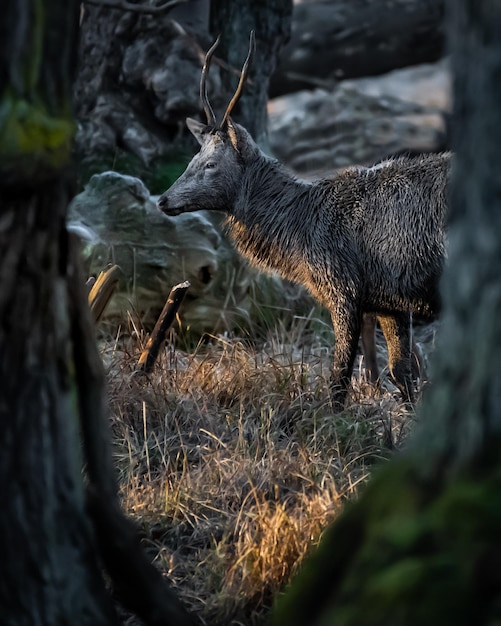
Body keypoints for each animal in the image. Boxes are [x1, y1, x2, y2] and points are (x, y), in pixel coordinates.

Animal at [157, 33, 450, 410]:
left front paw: (335, 421)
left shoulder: (344, 288)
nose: (163, 200)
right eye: (193, 158)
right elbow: (402, 372)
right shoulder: (390, 301)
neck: (300, 235)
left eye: (209, 164)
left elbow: (339, 378)